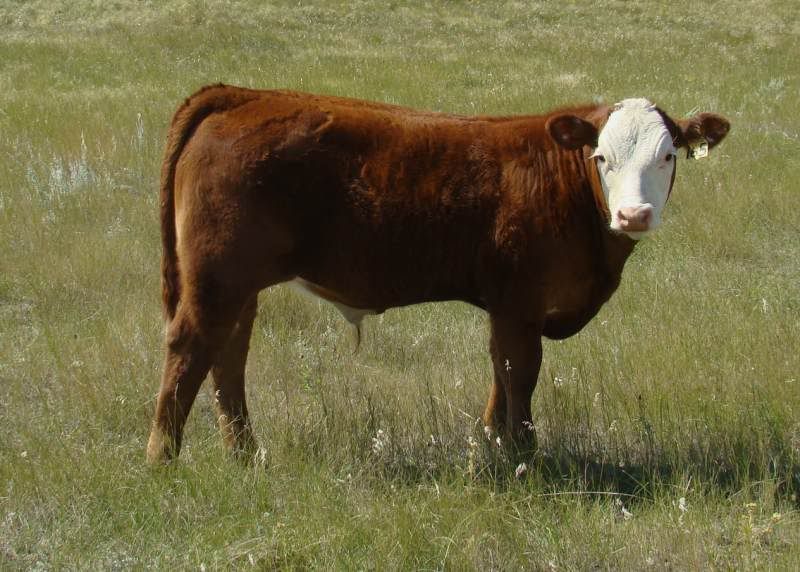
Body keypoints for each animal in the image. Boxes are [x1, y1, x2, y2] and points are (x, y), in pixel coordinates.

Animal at [146, 84, 729, 463]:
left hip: (237, 285)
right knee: (190, 347)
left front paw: (493, 450)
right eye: (602, 156)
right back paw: (162, 459)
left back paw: (245, 455)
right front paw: (525, 457)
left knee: (228, 355)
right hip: (217, 277)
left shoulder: (507, 307)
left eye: (668, 155)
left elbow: (500, 372)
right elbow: (520, 372)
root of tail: (241, 94)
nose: (634, 215)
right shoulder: (519, 301)